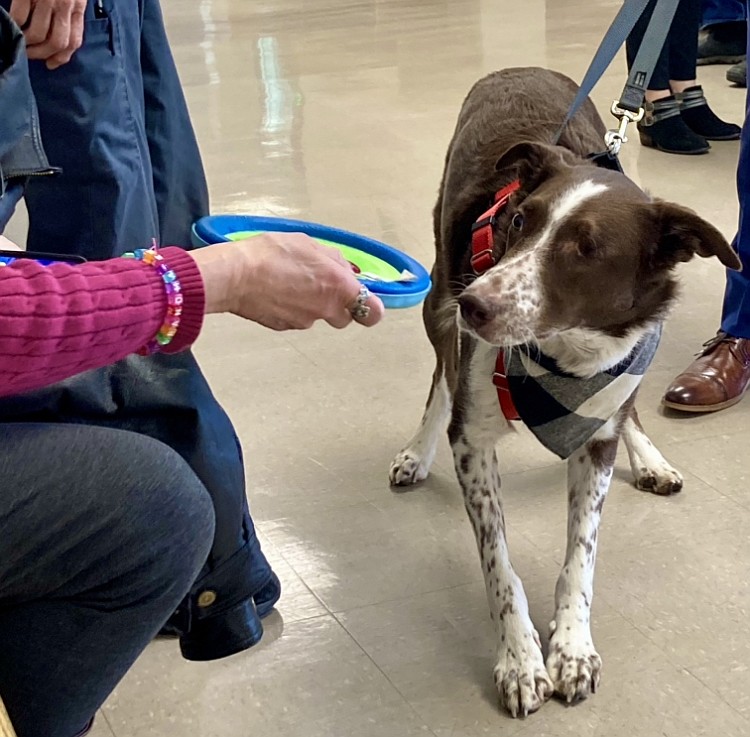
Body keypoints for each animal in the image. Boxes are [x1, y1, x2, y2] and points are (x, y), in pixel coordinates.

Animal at [390, 67, 744, 712]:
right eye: (519, 221)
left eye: (587, 249)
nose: (475, 304)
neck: (564, 358)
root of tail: (518, 69)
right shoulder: (472, 442)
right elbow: (500, 566)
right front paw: (520, 659)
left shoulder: (599, 424)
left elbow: (582, 554)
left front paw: (573, 649)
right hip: (437, 296)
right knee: (440, 376)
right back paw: (415, 451)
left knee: (630, 412)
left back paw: (650, 458)